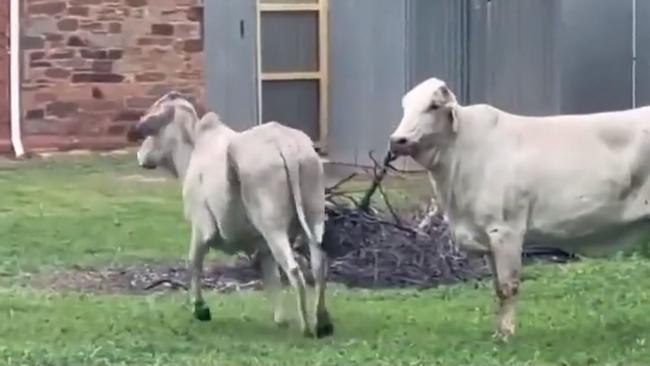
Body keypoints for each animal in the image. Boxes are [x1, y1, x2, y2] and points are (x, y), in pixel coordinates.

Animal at [126, 91, 332, 338]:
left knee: (294, 270)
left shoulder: (201, 228)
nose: (140, 156)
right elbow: (271, 277)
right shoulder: (262, 247)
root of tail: (286, 144)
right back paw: (322, 322)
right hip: (313, 217)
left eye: (153, 131)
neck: (194, 148)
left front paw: (200, 309)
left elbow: (193, 264)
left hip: (273, 227)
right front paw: (280, 319)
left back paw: (307, 328)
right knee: (318, 265)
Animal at [388, 77, 648, 340]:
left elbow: (507, 286)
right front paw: (499, 332)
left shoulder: (505, 230)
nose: (398, 140)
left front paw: (506, 335)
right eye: (405, 106)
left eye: (433, 106)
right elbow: (496, 287)